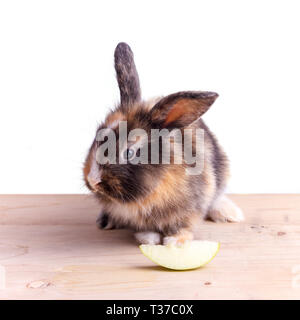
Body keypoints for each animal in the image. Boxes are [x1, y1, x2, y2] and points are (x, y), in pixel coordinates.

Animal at [82, 42, 244, 245]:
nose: (92, 180)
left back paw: (230, 213)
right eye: (97, 134)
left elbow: (183, 225)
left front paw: (175, 242)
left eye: (129, 152)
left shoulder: (191, 207)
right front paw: (148, 238)